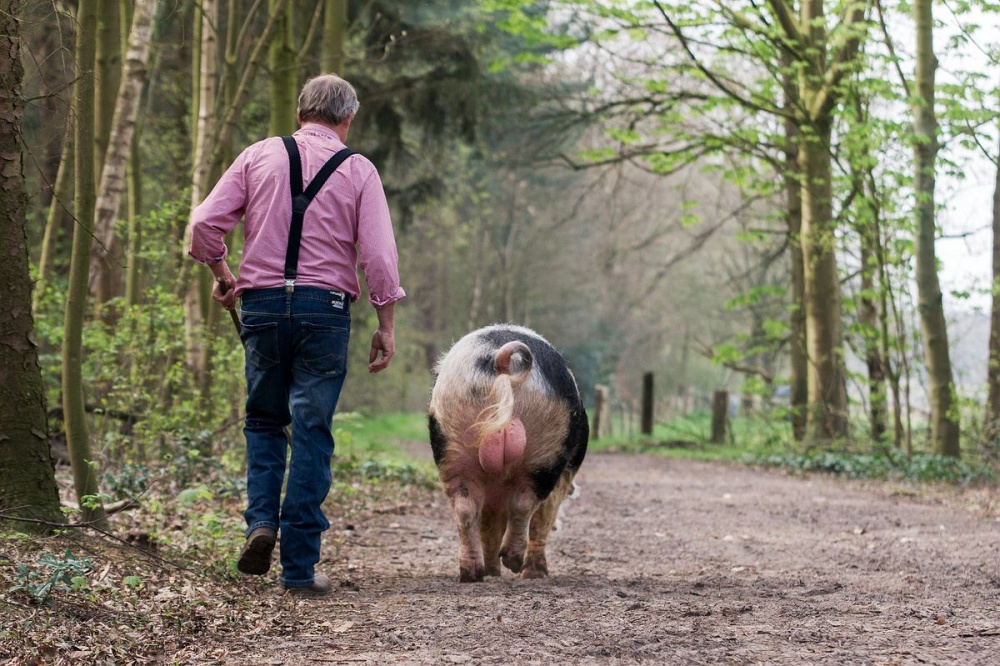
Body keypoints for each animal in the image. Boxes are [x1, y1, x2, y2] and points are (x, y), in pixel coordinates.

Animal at [428, 324, 584, 580]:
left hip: (452, 447)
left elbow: (488, 527)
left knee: (465, 508)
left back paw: (472, 574)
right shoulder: (562, 477)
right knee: (525, 503)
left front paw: (493, 572)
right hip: (547, 449)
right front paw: (534, 574)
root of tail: (500, 359)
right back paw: (515, 564)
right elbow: (543, 518)